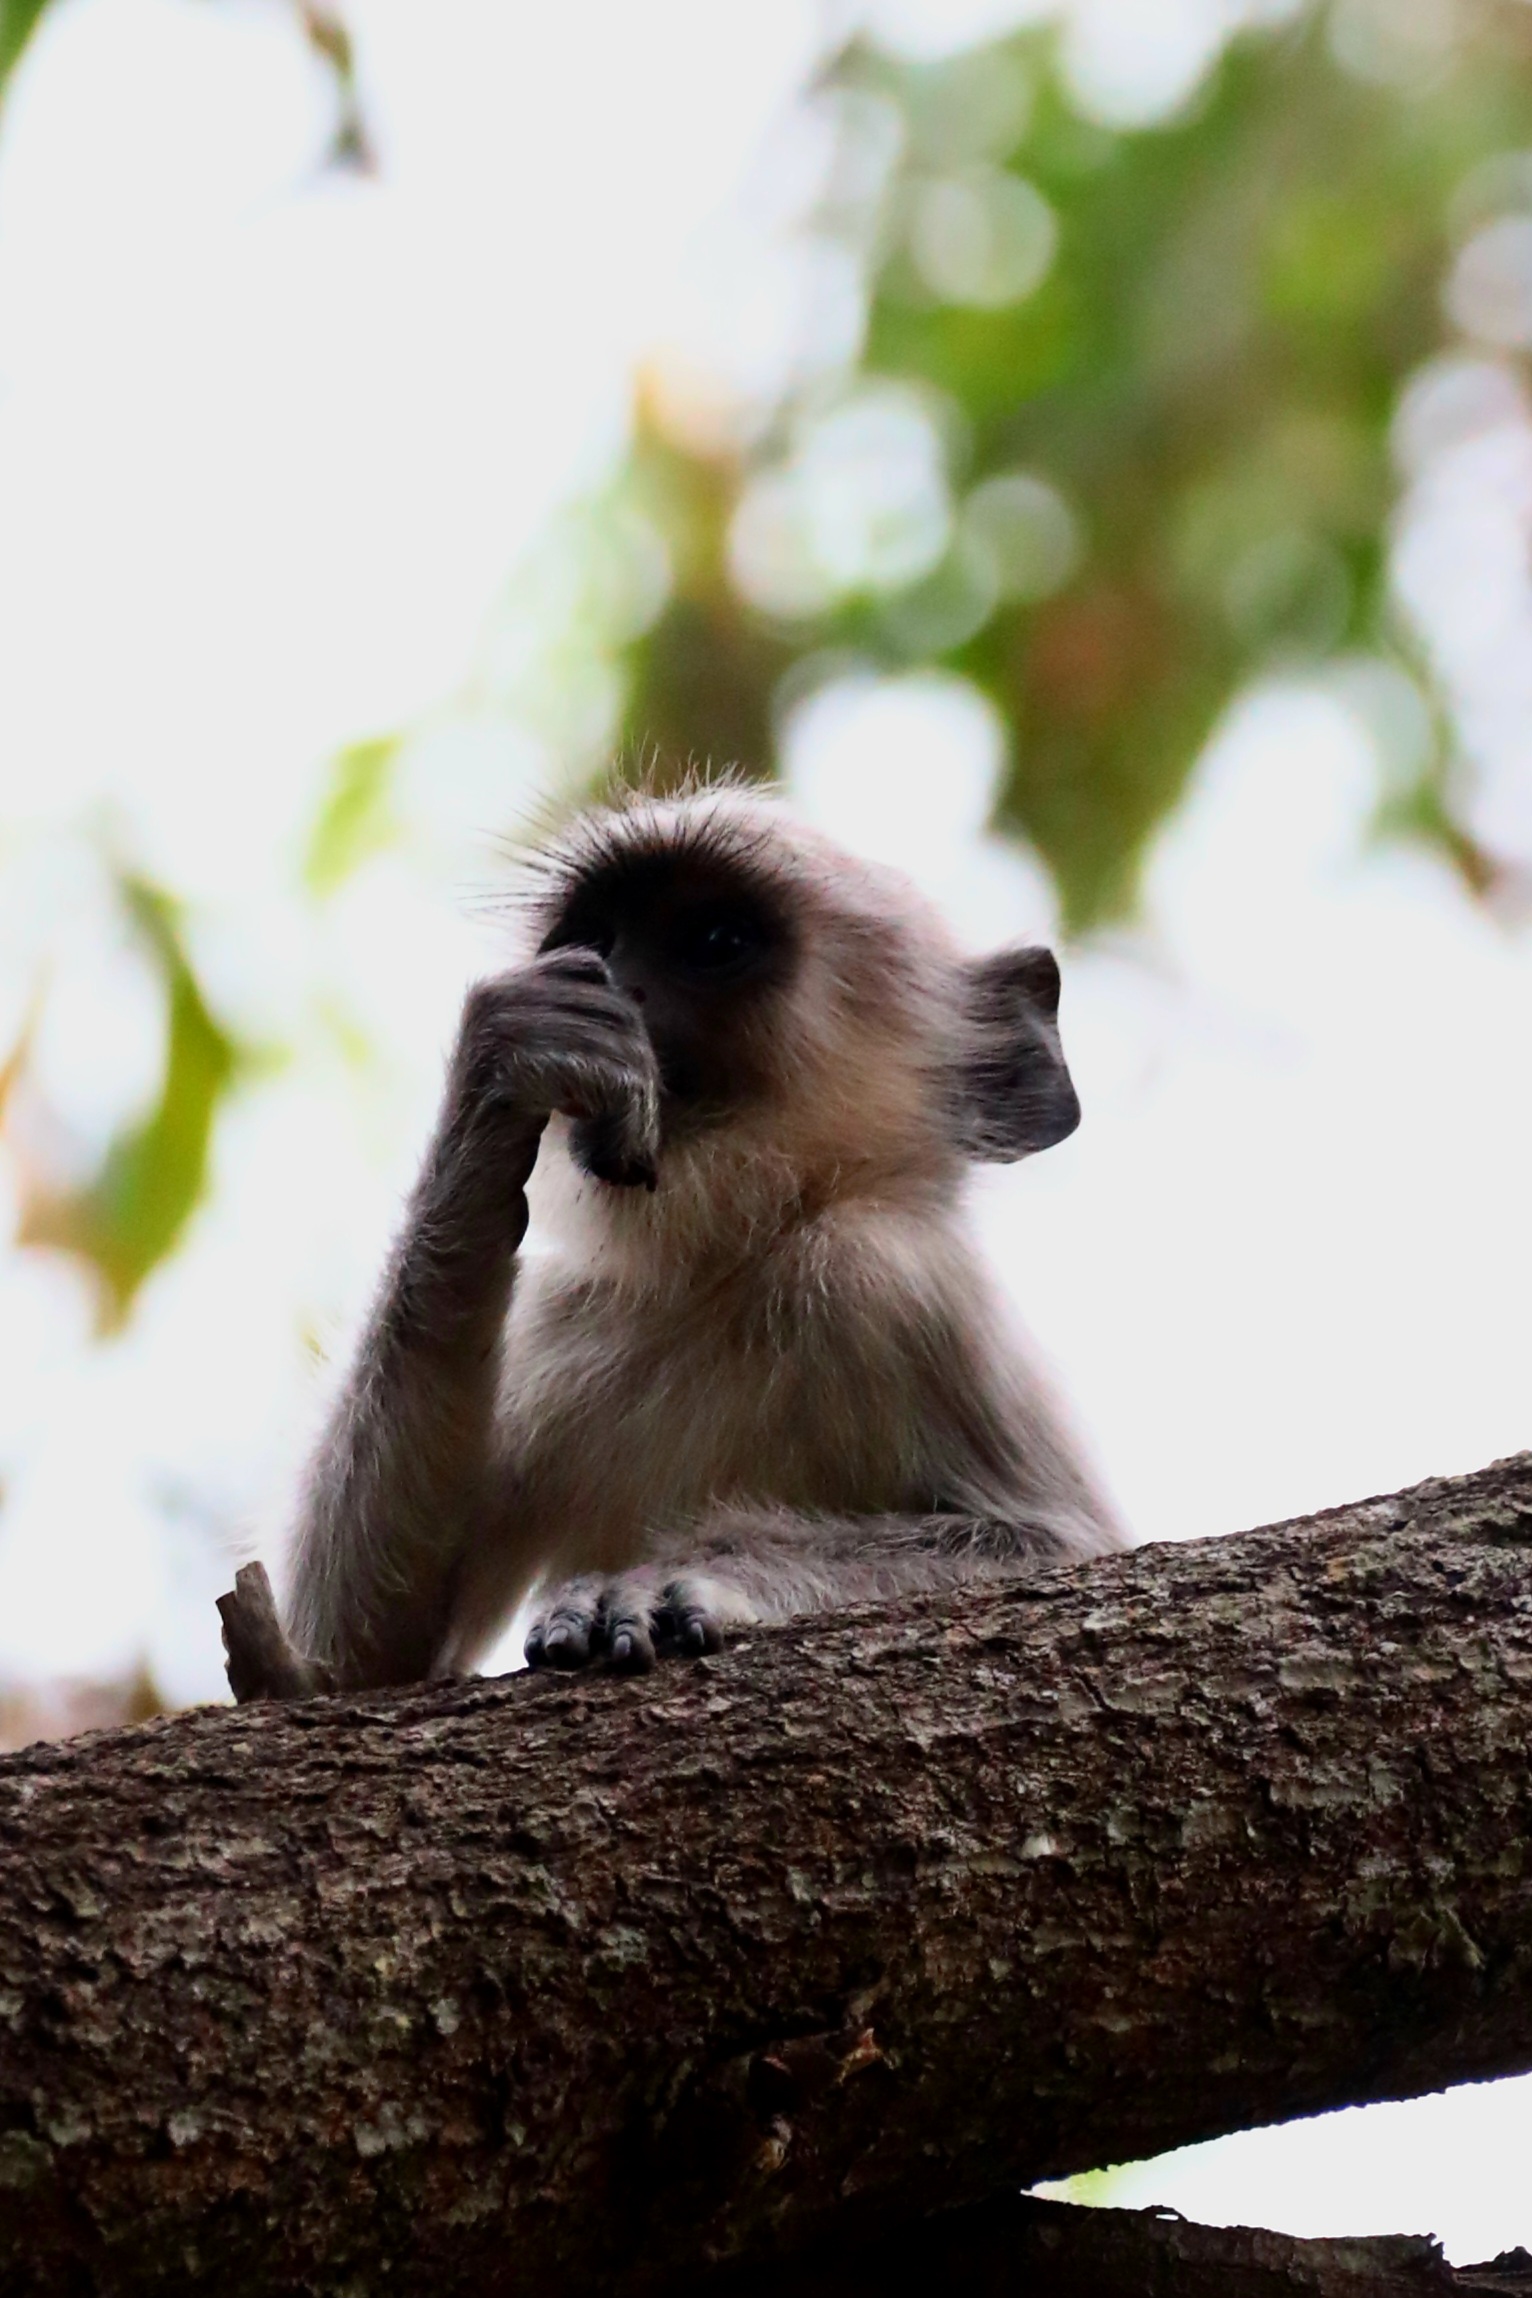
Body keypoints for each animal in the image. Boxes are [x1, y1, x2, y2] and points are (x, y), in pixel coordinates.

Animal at [219, 780, 1125, 1702]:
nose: (621, 985)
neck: (740, 1260)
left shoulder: (894, 1274)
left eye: (715, 941)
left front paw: (682, 1581)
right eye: (596, 941)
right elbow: (355, 1659)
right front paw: (508, 1070)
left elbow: (1056, 1547)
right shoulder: (562, 1310)